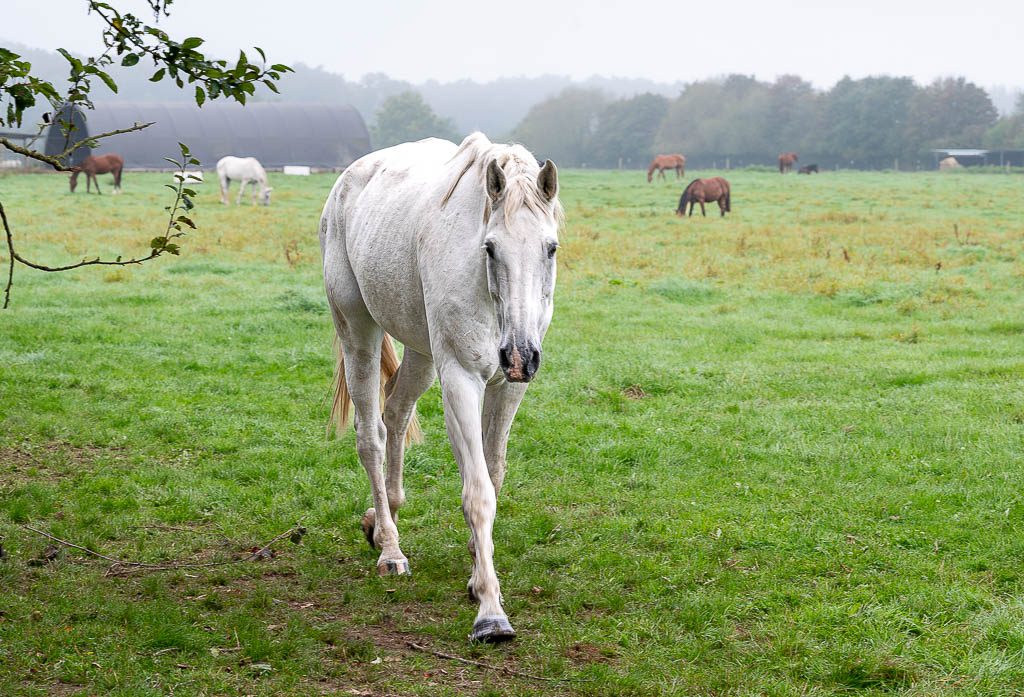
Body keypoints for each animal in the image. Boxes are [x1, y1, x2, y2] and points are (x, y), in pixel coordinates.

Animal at [320, 133, 561, 643]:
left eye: (550, 248)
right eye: (490, 248)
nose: (518, 356)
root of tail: (348, 179)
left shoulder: (508, 389)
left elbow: (494, 473)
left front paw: (475, 574)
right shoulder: (461, 382)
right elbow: (478, 492)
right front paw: (490, 612)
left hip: (422, 353)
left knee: (395, 414)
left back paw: (380, 521)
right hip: (359, 332)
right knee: (371, 436)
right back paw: (390, 551)